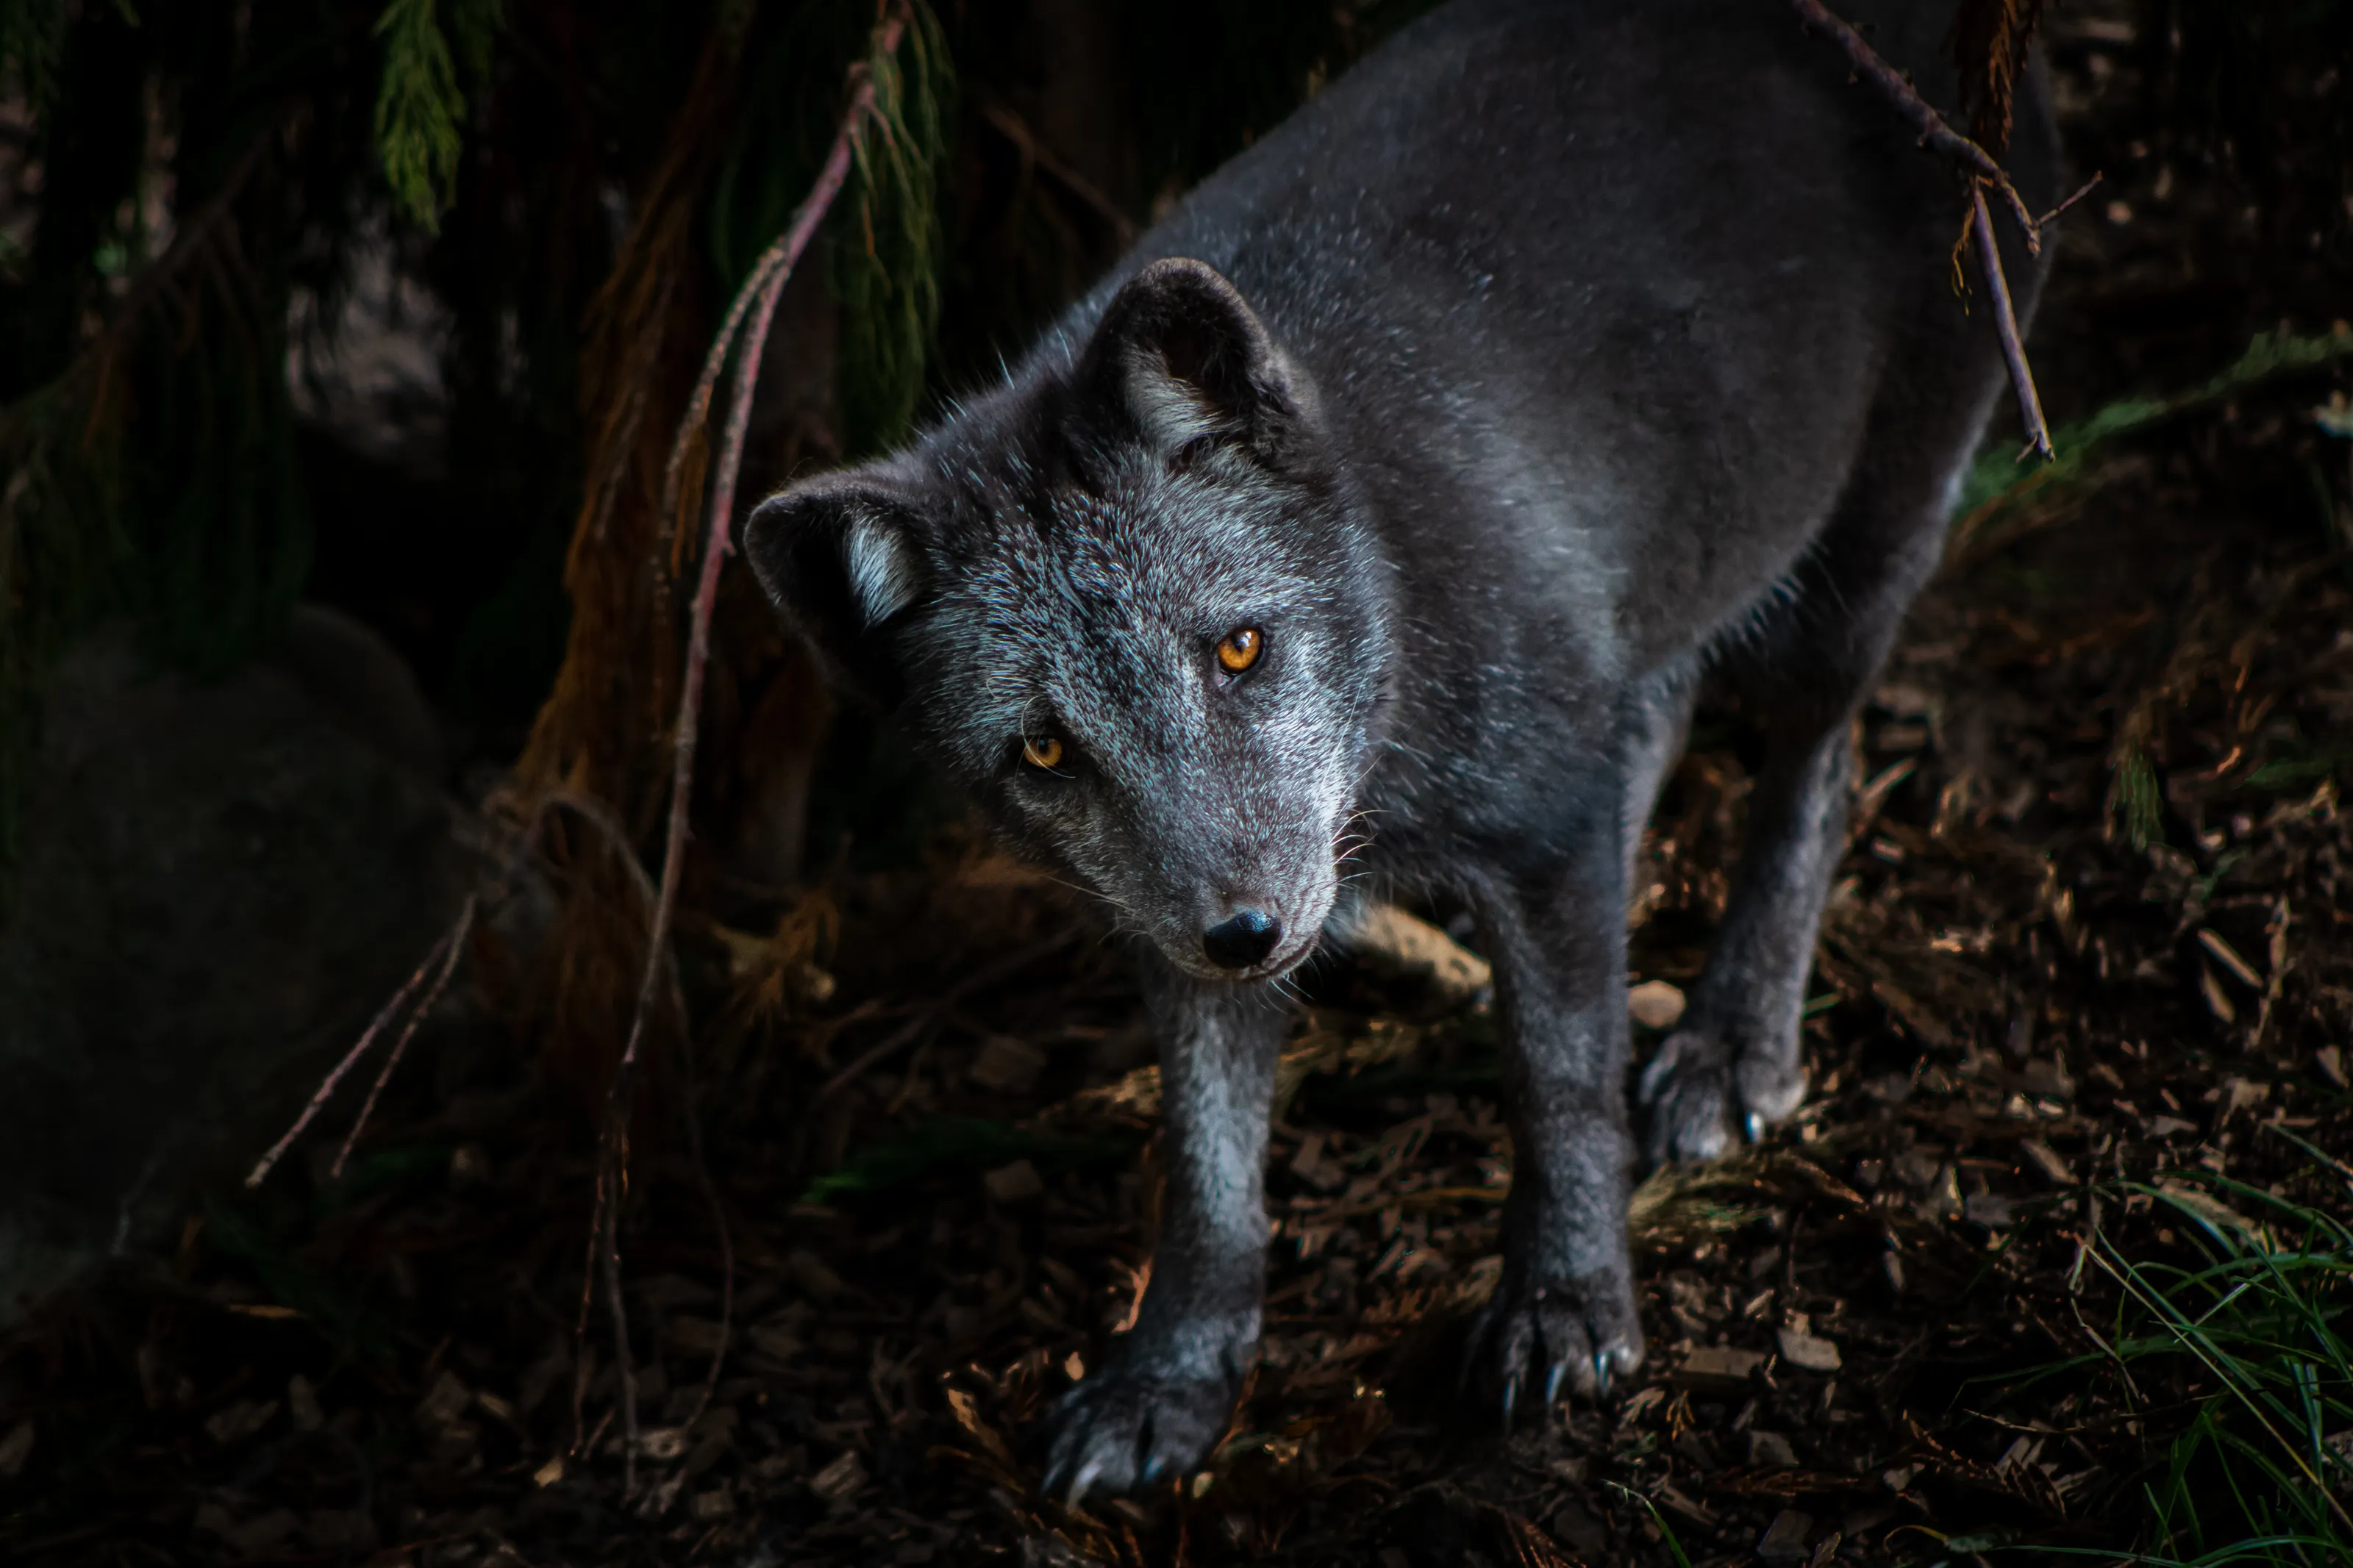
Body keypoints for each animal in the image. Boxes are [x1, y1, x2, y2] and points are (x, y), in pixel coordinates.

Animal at [746, 0, 2056, 1501]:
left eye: (1238, 648)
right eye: (1044, 750)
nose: (1249, 933)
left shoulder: (1542, 828)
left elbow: (1557, 1083)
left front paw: (1566, 1306)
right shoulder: (1175, 941)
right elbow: (1207, 1178)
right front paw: (1170, 1379)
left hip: (1856, 566)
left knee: (1816, 774)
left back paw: (1736, 1042)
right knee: (1669, 721)